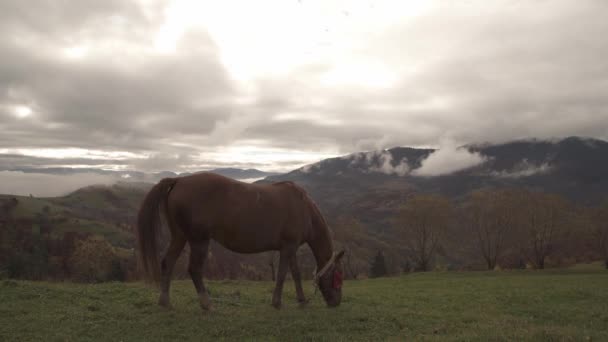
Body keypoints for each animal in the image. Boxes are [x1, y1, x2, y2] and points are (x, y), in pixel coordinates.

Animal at [138, 174, 344, 310]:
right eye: (338, 276)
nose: (336, 302)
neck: (303, 208)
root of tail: (179, 180)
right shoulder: (287, 248)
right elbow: (282, 274)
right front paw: (277, 302)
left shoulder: (290, 248)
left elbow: (295, 274)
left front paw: (301, 301)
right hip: (199, 240)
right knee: (194, 269)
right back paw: (207, 304)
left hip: (180, 237)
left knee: (168, 262)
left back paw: (165, 302)